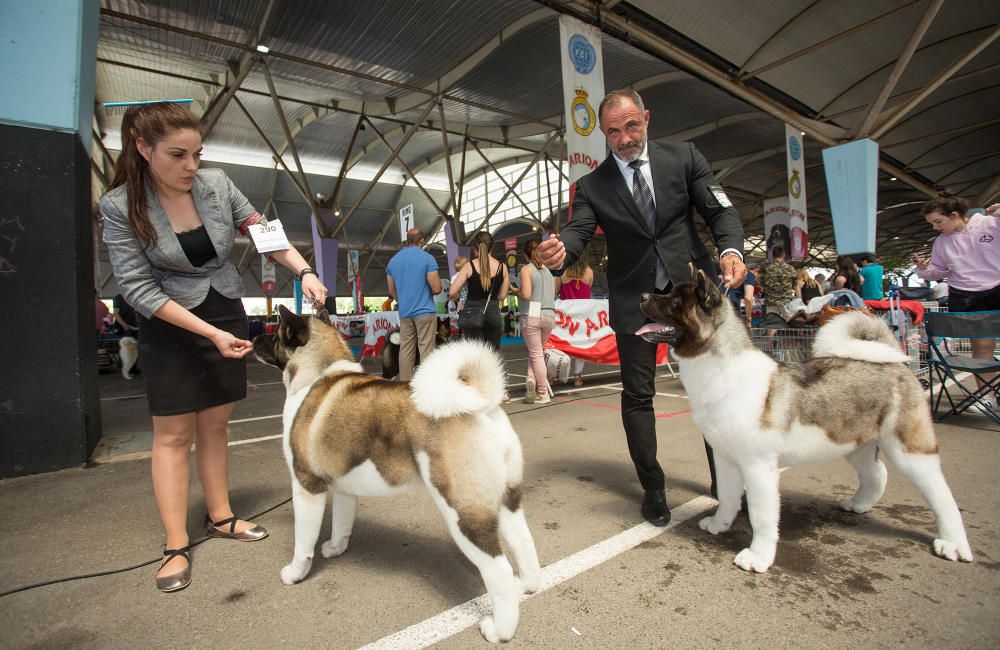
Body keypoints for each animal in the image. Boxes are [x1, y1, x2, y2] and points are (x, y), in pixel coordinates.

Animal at [254, 306, 544, 636]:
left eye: (276, 333)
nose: (253, 339)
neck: (317, 375)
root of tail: (482, 404)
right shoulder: (343, 488)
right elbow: (341, 523)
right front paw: (336, 548)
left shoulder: (306, 486)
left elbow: (303, 541)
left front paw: (295, 573)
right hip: (504, 499)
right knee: (523, 542)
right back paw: (527, 585)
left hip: (464, 512)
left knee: (498, 570)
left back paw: (499, 631)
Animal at [636, 270, 972, 572]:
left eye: (675, 301)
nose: (641, 296)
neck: (722, 369)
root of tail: (895, 362)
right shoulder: (726, 459)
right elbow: (729, 497)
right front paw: (719, 525)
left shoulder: (758, 467)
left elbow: (761, 514)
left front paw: (757, 557)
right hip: (855, 443)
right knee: (877, 473)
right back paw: (859, 504)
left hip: (908, 449)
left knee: (941, 495)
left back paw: (953, 544)